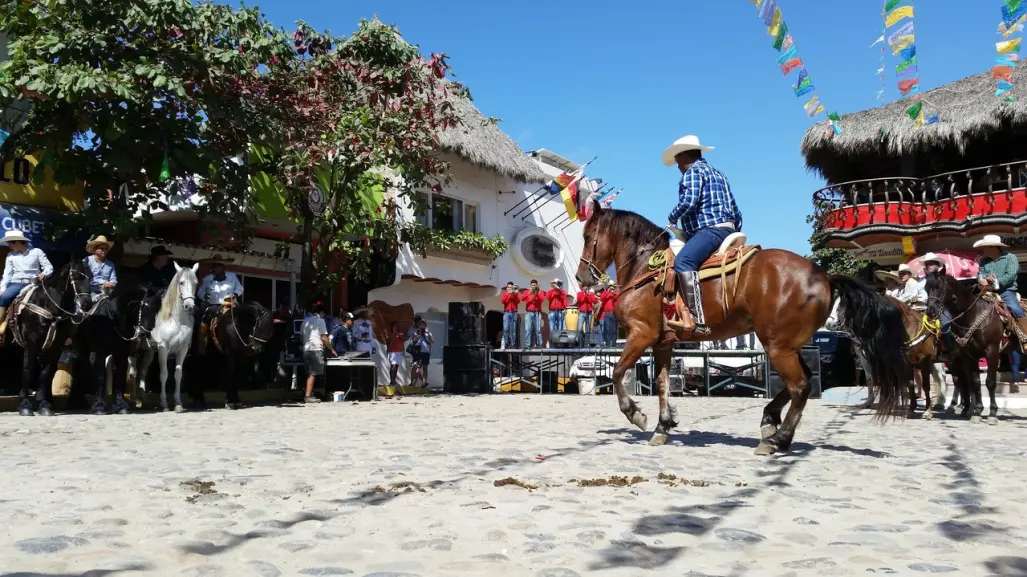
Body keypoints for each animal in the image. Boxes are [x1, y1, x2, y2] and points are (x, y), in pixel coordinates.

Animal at [137, 262, 199, 410]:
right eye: (181, 282)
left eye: (196, 283)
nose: (189, 306)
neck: (177, 321)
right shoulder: (163, 349)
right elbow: (164, 374)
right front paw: (164, 403)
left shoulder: (182, 350)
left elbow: (178, 374)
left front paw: (178, 403)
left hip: (148, 352)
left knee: (142, 371)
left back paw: (143, 399)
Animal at [575, 206, 911, 453]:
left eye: (588, 235)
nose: (581, 277)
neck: (646, 268)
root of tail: (824, 276)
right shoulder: (663, 343)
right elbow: (662, 383)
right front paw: (663, 426)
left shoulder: (641, 333)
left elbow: (618, 372)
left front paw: (637, 415)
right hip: (788, 345)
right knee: (800, 382)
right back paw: (770, 421)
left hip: (776, 345)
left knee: (800, 385)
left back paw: (777, 439)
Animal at [924, 268, 1010, 422]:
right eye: (926, 288)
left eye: (939, 287)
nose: (930, 312)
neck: (974, 316)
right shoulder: (969, 355)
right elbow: (975, 382)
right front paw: (977, 411)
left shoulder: (992, 351)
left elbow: (989, 382)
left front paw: (992, 413)